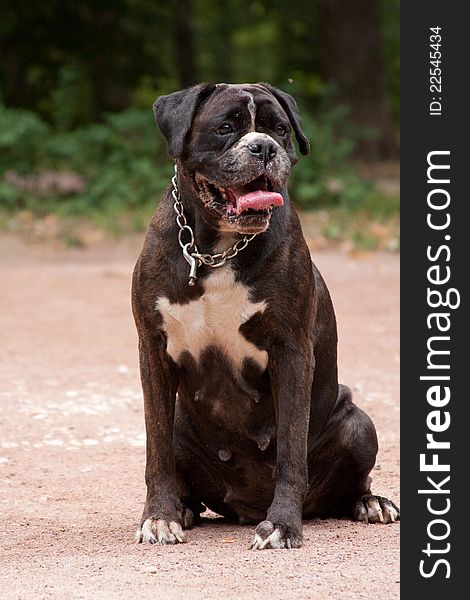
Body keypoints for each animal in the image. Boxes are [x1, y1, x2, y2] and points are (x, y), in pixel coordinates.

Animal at [133, 82, 400, 552]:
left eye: (280, 129)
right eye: (226, 127)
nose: (264, 147)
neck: (218, 250)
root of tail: (245, 505)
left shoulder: (290, 351)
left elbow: (291, 449)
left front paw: (282, 525)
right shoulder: (153, 350)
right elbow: (156, 447)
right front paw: (160, 517)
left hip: (358, 423)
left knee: (351, 482)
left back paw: (370, 503)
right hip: (185, 425)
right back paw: (184, 509)